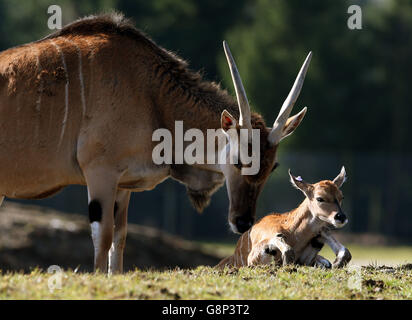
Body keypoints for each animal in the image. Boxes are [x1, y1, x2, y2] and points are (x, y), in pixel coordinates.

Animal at [0, 13, 310, 272]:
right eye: (238, 160)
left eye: (271, 168)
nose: (243, 221)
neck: (150, 94)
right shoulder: (100, 173)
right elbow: (104, 237)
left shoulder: (122, 186)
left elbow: (119, 239)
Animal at [217, 168, 352, 270]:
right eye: (320, 198)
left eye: (342, 197)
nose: (341, 217)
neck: (293, 233)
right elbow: (285, 248)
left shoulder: (320, 234)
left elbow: (345, 252)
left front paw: (335, 264)